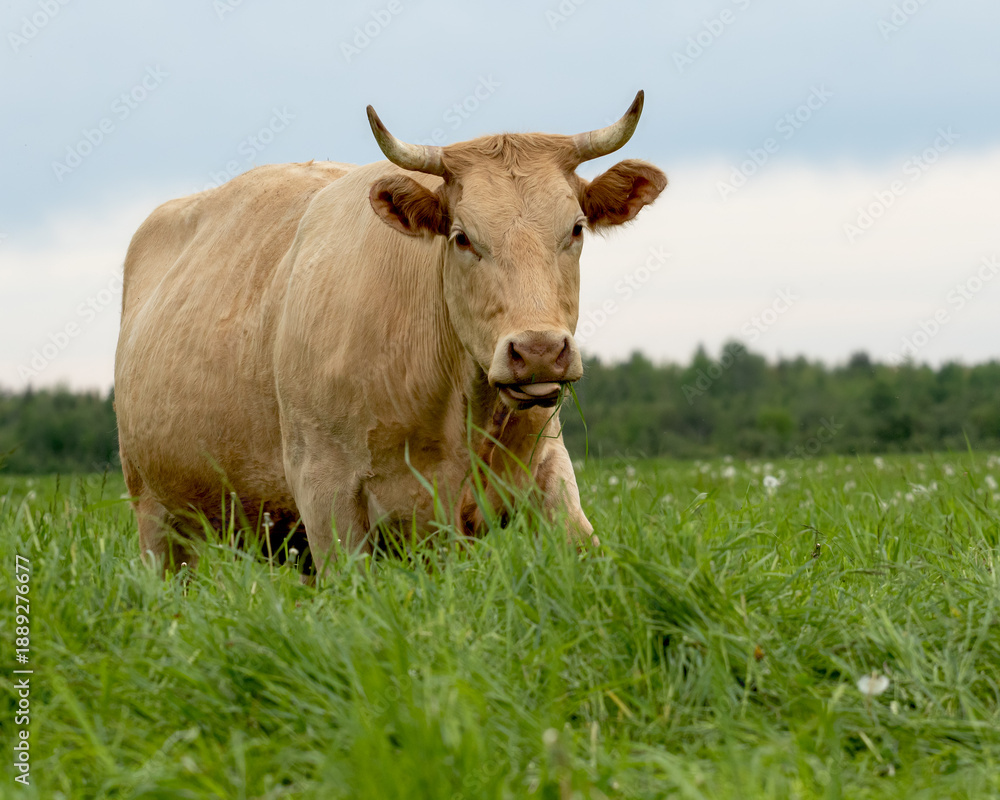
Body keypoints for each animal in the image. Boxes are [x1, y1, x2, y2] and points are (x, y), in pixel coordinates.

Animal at [114, 91, 667, 574]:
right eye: (462, 237)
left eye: (575, 228)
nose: (537, 350)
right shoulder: (324, 489)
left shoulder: (545, 467)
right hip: (155, 516)